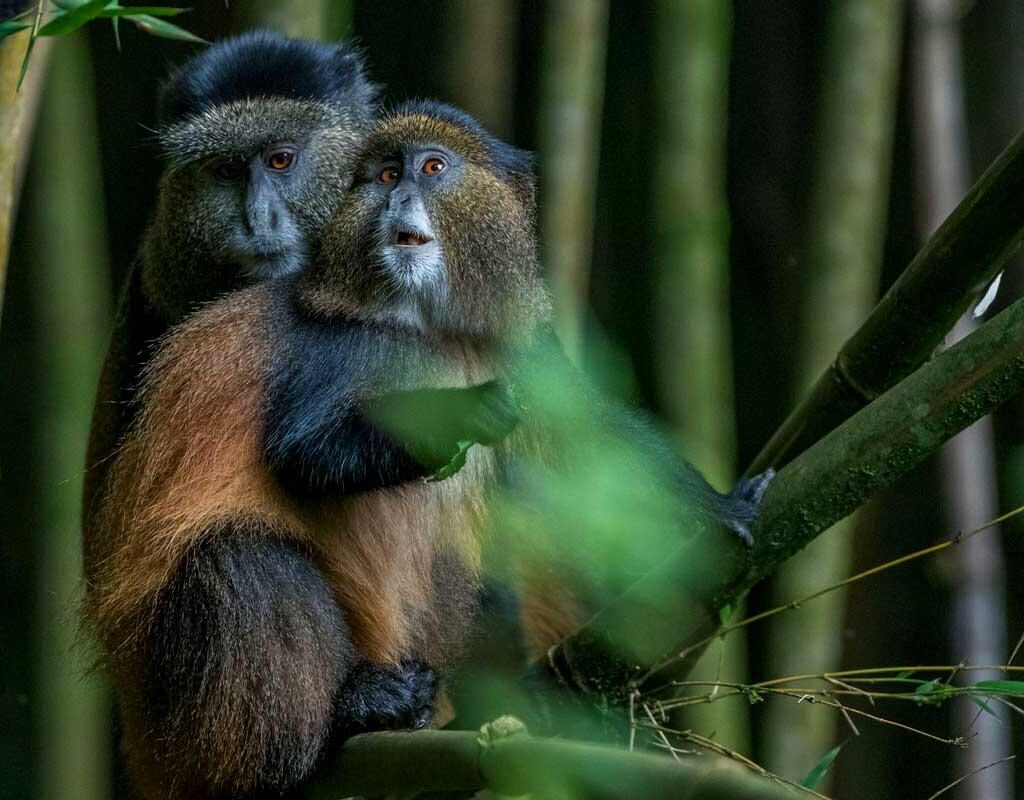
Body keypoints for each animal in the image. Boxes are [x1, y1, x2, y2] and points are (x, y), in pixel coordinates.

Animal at [84, 100, 770, 798]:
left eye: (432, 168)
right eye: (387, 175)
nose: (399, 197)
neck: (431, 330)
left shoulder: (523, 345)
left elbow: (590, 433)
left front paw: (719, 507)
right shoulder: (338, 346)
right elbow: (306, 453)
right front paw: (463, 413)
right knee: (238, 556)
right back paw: (332, 729)